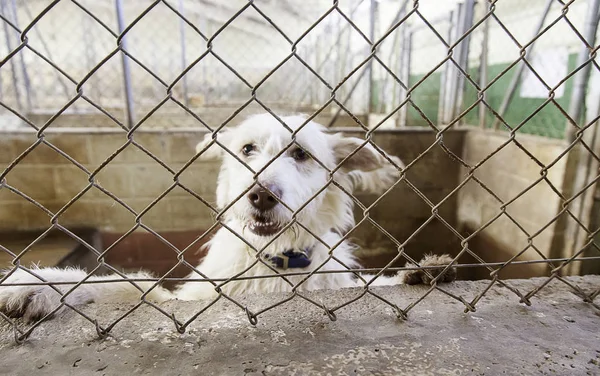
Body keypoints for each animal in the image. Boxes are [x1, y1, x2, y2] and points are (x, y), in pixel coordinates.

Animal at [0, 113, 452, 322]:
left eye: (301, 154)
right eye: (247, 149)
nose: (261, 194)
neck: (274, 260)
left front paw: (418, 273)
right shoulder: (187, 299)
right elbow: (130, 287)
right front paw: (41, 284)